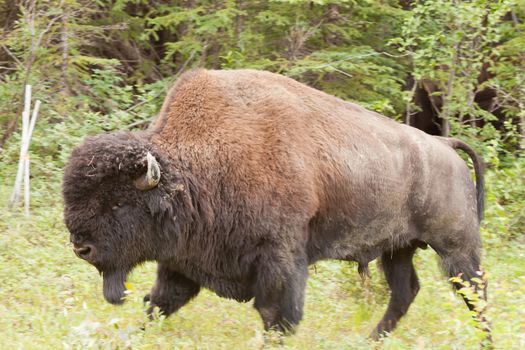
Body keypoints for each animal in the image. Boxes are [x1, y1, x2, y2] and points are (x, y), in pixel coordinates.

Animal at [64, 68, 488, 340]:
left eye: (118, 203)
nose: (81, 247)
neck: (195, 172)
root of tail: (444, 144)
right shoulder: (183, 259)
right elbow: (159, 303)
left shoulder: (280, 257)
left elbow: (276, 317)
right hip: (398, 249)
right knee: (405, 292)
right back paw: (372, 339)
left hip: (455, 247)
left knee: (475, 293)